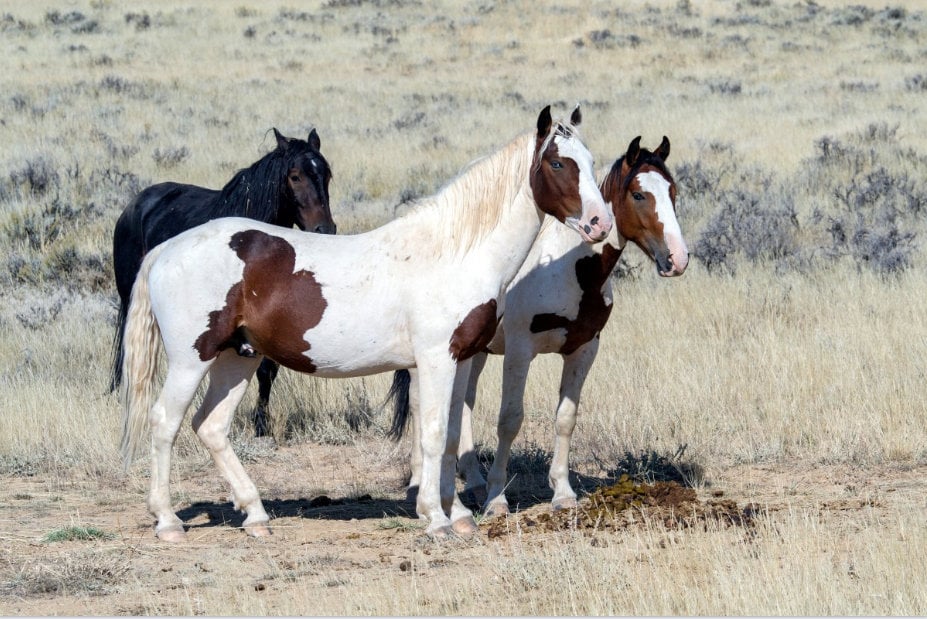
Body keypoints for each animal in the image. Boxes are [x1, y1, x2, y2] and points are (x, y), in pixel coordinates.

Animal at [110, 128, 335, 438]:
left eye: (327, 174)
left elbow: (268, 370)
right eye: (295, 176)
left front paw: (261, 425)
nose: (324, 229)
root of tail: (135, 204)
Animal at [392, 135, 688, 516]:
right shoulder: (520, 351)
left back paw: (472, 481)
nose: (678, 259)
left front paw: (562, 492)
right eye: (638, 195)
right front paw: (497, 497)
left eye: (672, 191)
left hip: (475, 352)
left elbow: (565, 418)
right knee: (419, 403)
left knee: (464, 403)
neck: (569, 269)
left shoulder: (584, 349)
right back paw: (420, 485)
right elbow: (509, 420)